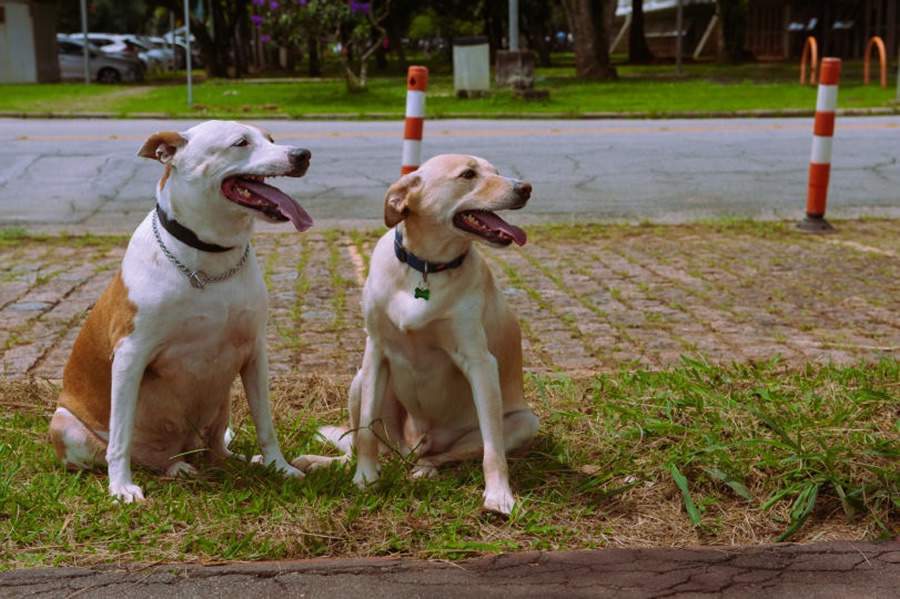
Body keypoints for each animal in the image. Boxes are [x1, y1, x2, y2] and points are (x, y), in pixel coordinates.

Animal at [51, 118, 316, 502]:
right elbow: (120, 436)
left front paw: (278, 467)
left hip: (220, 406)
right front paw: (121, 486)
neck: (209, 256)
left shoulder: (254, 353)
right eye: (240, 142)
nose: (303, 154)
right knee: (125, 452)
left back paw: (225, 461)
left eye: (271, 138)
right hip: (65, 423)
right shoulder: (130, 355)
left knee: (214, 447)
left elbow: (265, 423)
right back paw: (169, 468)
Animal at [294, 155, 536, 516]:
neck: (425, 267)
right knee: (362, 446)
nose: (525, 188)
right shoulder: (376, 351)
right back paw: (322, 463)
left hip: (524, 421)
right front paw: (365, 479)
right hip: (359, 381)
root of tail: (412, 445)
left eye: (495, 171)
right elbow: (365, 433)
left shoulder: (480, 362)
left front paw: (498, 495)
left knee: (445, 455)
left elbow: (493, 450)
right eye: (468, 174)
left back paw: (423, 470)